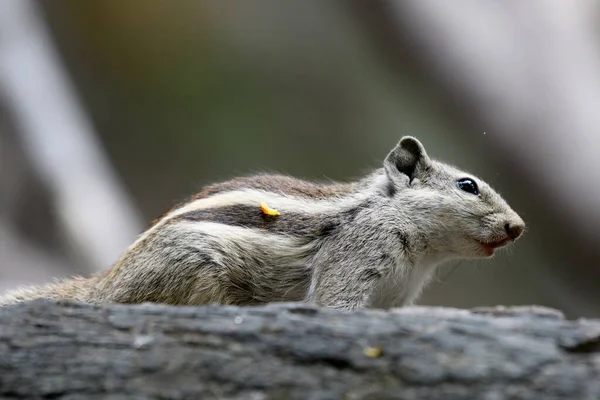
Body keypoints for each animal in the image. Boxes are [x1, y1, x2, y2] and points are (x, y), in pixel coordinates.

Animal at [0, 138, 524, 310]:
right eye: (468, 186)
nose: (518, 227)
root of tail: (104, 286)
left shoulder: (395, 297)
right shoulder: (355, 256)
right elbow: (334, 306)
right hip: (194, 271)